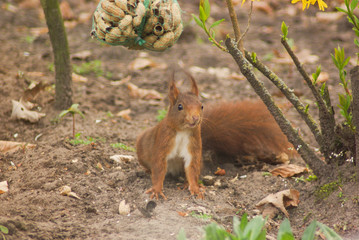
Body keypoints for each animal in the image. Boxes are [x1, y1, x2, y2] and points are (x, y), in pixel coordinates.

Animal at [136, 74, 296, 200]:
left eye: (201, 106)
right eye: (179, 107)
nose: (195, 118)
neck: (183, 131)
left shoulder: (194, 146)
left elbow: (192, 168)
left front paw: (195, 188)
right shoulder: (163, 143)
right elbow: (158, 167)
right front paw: (157, 190)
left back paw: (186, 183)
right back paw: (148, 171)